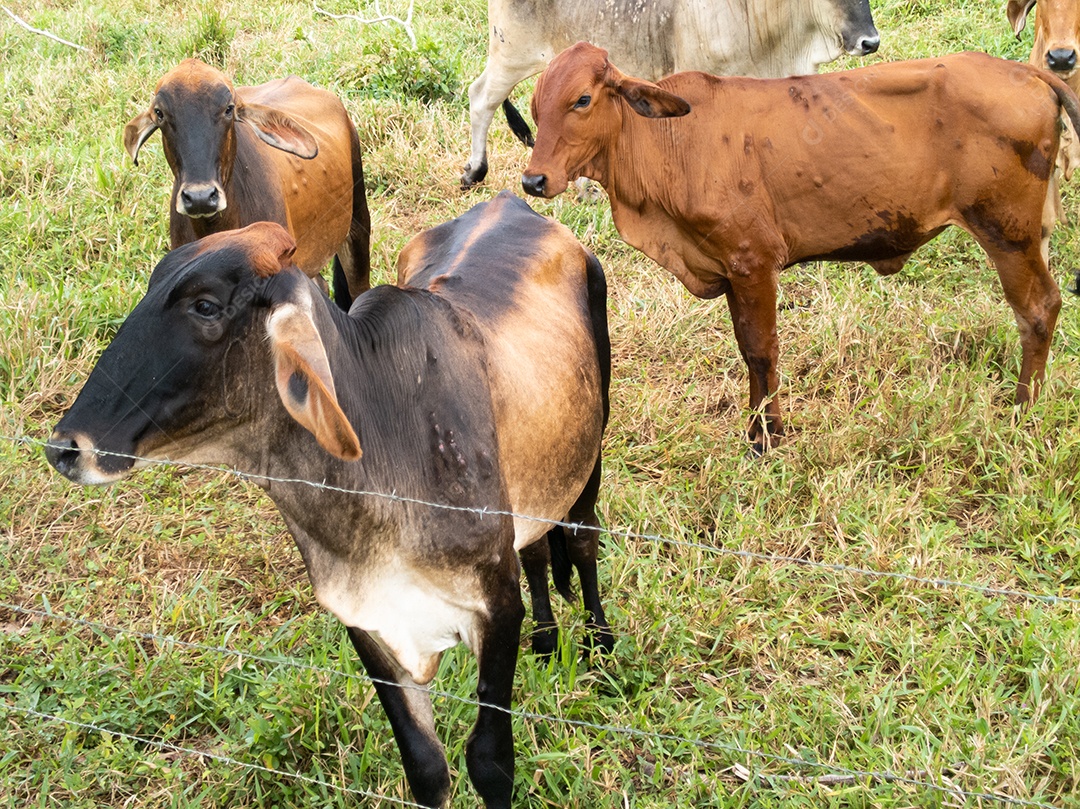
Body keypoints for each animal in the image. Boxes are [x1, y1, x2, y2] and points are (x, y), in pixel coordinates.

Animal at [44, 194, 614, 809]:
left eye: (205, 306)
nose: (66, 447)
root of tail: (511, 202)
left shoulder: (496, 604)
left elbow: (490, 762)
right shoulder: (365, 620)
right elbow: (425, 766)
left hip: (592, 446)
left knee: (581, 540)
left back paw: (600, 648)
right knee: (537, 545)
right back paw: (547, 641)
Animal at [522, 42, 1080, 453]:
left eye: (582, 100)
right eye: (534, 106)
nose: (534, 179)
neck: (669, 143)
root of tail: (1024, 72)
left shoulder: (753, 260)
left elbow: (761, 349)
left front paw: (766, 438)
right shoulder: (729, 266)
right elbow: (748, 350)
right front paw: (758, 430)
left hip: (1008, 231)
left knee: (1038, 308)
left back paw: (1022, 411)